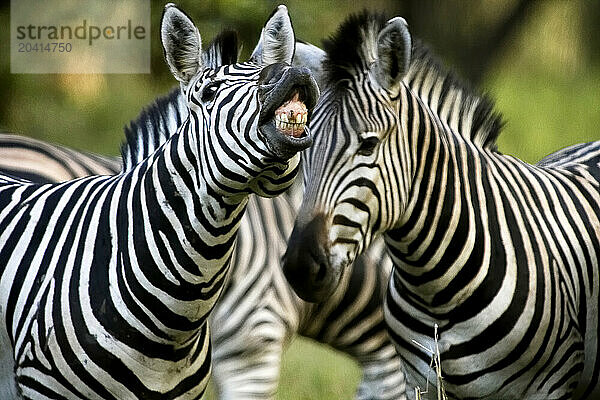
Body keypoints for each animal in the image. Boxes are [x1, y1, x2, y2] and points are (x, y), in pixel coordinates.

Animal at [282, 10, 600, 398]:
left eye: (368, 145)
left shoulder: (549, 385)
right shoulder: (420, 384)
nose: (300, 266)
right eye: (305, 149)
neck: (435, 289)